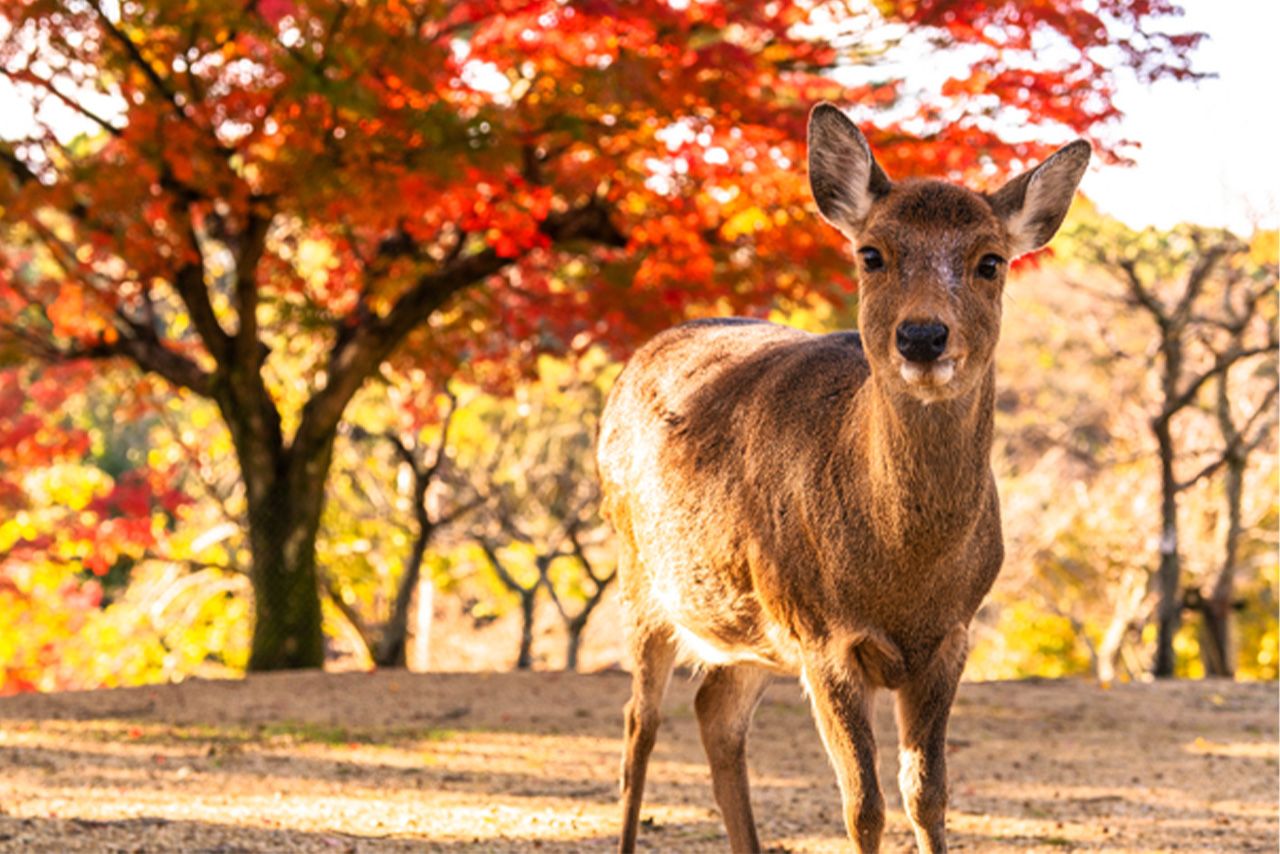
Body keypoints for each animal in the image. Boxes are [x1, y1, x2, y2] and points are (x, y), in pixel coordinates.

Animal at [596, 101, 1090, 854]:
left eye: (990, 261)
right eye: (871, 254)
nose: (923, 336)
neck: (902, 575)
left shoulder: (952, 635)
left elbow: (927, 796)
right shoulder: (822, 634)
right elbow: (864, 805)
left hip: (749, 622)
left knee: (715, 710)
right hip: (641, 575)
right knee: (637, 726)